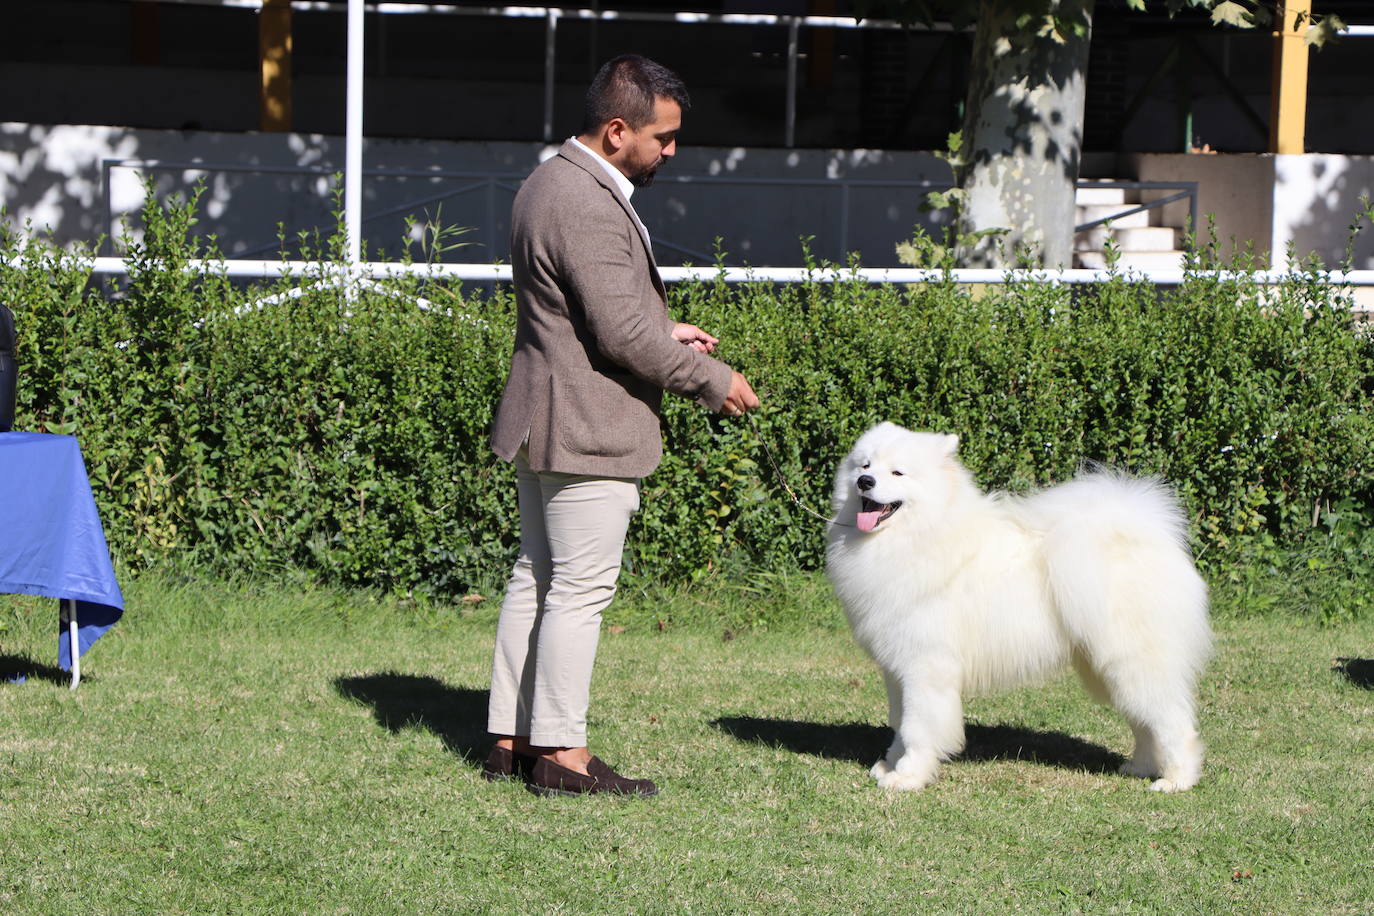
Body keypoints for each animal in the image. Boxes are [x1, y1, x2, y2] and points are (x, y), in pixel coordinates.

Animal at [818, 425, 1209, 791]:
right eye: (865, 465)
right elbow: (899, 724)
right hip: (1107, 666)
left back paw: (1176, 779)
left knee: (1173, 722)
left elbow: (917, 729)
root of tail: (1149, 538)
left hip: (1134, 661)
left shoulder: (925, 668)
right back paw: (1140, 766)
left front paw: (908, 776)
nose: (865, 482)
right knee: (1144, 721)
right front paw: (889, 765)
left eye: (898, 473)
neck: (923, 534)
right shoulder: (897, 670)